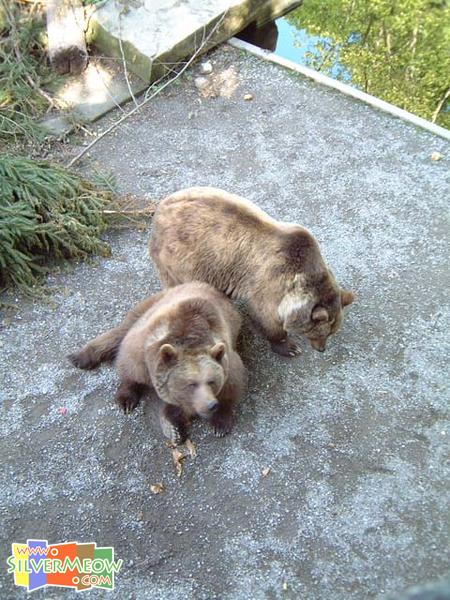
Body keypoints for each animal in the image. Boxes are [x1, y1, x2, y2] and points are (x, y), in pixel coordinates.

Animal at [68, 282, 248, 440]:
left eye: (211, 381)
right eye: (191, 384)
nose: (211, 404)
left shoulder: (226, 359)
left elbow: (231, 387)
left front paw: (219, 423)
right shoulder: (143, 352)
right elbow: (129, 368)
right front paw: (126, 399)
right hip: (148, 305)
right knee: (119, 332)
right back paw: (78, 357)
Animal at [151, 188, 356, 356]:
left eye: (332, 332)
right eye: (318, 332)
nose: (322, 349)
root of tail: (157, 217)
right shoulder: (270, 285)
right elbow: (266, 319)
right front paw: (289, 346)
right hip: (186, 261)